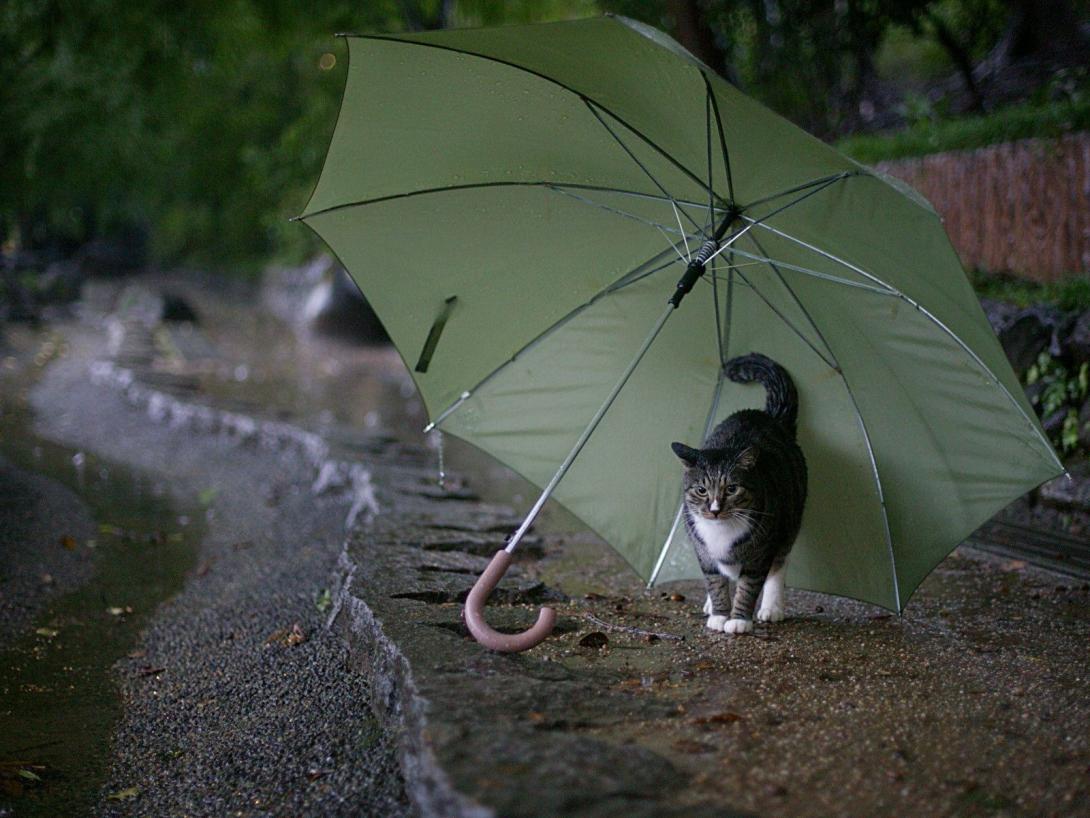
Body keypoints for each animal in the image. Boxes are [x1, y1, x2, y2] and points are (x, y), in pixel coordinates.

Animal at [667, 353, 806, 632]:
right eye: (701, 490)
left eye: (732, 489)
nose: (714, 509)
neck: (721, 531)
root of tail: (769, 417)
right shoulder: (703, 551)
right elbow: (715, 582)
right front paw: (720, 613)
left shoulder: (760, 552)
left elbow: (749, 586)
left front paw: (739, 620)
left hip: (789, 523)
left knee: (779, 564)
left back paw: (772, 607)